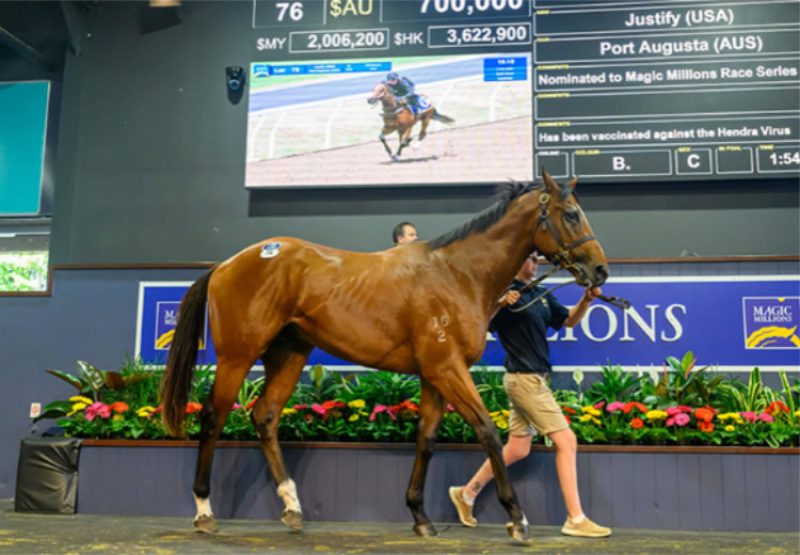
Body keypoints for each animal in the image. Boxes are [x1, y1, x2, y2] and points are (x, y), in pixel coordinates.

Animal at [161, 172, 608, 544]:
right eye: (571, 214)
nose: (600, 271)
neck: (457, 274)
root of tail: (228, 264)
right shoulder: (448, 369)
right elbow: (487, 431)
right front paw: (517, 519)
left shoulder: (433, 374)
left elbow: (426, 438)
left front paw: (420, 517)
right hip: (237, 355)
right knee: (213, 417)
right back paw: (204, 511)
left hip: (289, 353)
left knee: (265, 416)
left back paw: (292, 507)